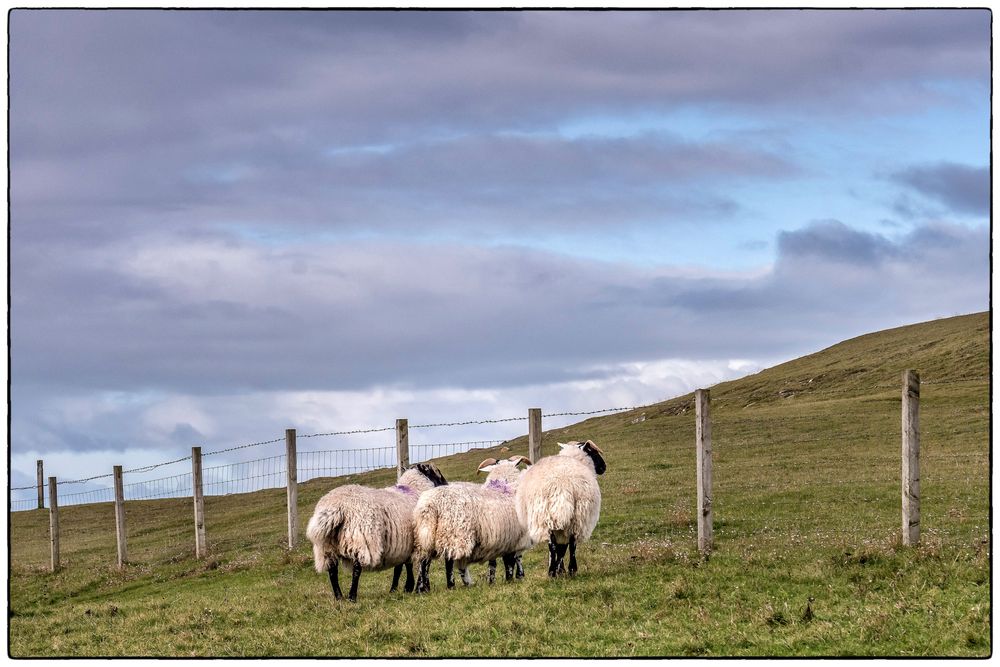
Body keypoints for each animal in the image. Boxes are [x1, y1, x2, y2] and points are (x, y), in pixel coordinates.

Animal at [302, 462, 448, 604]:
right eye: (437, 474)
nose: (446, 484)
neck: (415, 489)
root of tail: (336, 507)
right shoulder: (417, 541)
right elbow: (419, 565)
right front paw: (418, 587)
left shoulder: (403, 544)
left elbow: (401, 567)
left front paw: (398, 589)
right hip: (361, 539)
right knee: (356, 569)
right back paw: (352, 597)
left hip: (326, 546)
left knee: (332, 571)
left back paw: (339, 598)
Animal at [414, 454, 536, 596]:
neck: (504, 487)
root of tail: (431, 504)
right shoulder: (512, 538)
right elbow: (510, 561)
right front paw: (511, 579)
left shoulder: (495, 540)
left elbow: (493, 564)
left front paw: (492, 581)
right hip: (454, 534)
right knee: (449, 561)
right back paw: (451, 585)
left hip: (427, 535)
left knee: (424, 562)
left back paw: (422, 588)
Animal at [520, 440, 604, 576]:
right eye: (594, 452)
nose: (603, 467)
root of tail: (562, 485)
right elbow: (565, 547)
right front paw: (562, 569)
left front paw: (558, 569)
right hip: (577, 516)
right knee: (571, 543)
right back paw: (569, 569)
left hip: (549, 517)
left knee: (554, 544)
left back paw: (553, 571)